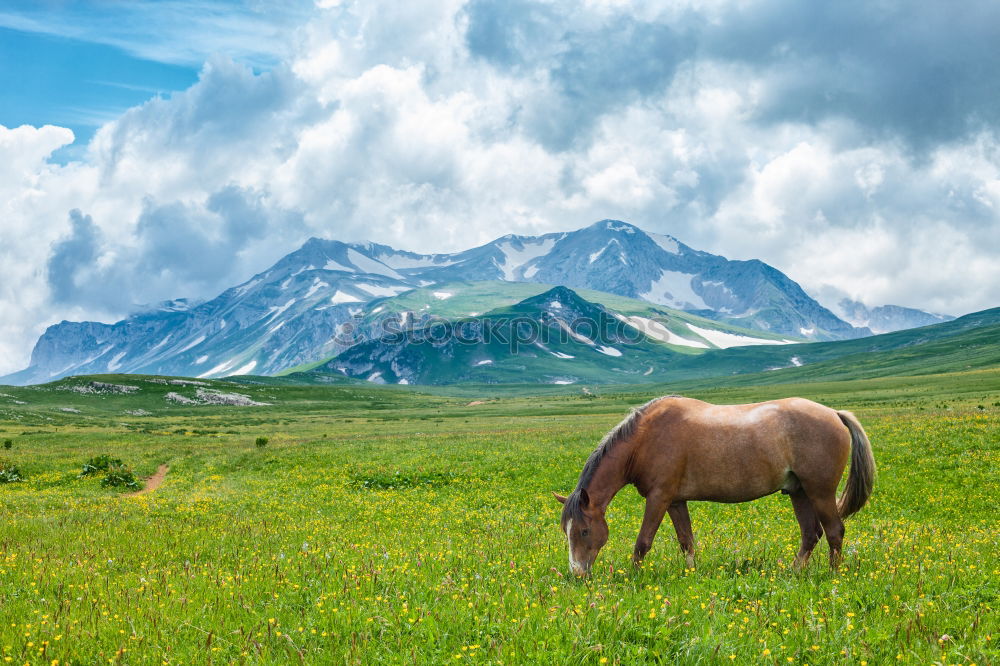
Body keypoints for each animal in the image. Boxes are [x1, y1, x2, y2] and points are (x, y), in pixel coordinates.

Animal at [556, 394, 876, 576]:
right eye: (566, 531)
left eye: (584, 531)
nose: (577, 573)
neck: (645, 439)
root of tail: (835, 413)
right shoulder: (675, 501)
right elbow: (686, 541)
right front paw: (691, 575)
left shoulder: (658, 498)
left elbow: (643, 542)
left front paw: (634, 578)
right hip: (799, 492)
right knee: (811, 534)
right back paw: (796, 572)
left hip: (820, 492)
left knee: (834, 531)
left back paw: (832, 576)